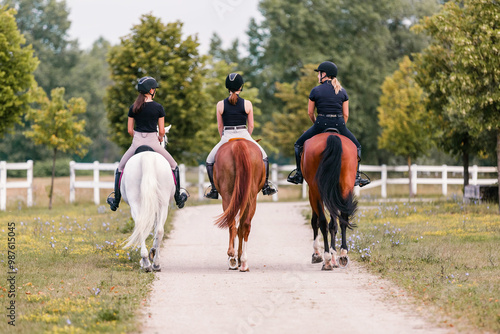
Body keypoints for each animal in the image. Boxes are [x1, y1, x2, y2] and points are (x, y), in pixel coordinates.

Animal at [212, 138, 266, 272]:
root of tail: (238, 143)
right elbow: (240, 227)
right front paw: (239, 257)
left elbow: (238, 228)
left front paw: (237, 257)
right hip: (249, 197)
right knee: (244, 225)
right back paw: (242, 262)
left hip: (228, 196)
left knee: (234, 224)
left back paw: (233, 258)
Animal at [302, 132, 358, 270]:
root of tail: (331, 135)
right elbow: (334, 224)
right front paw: (334, 256)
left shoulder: (312, 193)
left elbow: (315, 222)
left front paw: (317, 255)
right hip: (345, 186)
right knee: (343, 220)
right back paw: (343, 254)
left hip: (316, 190)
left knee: (322, 222)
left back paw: (327, 259)